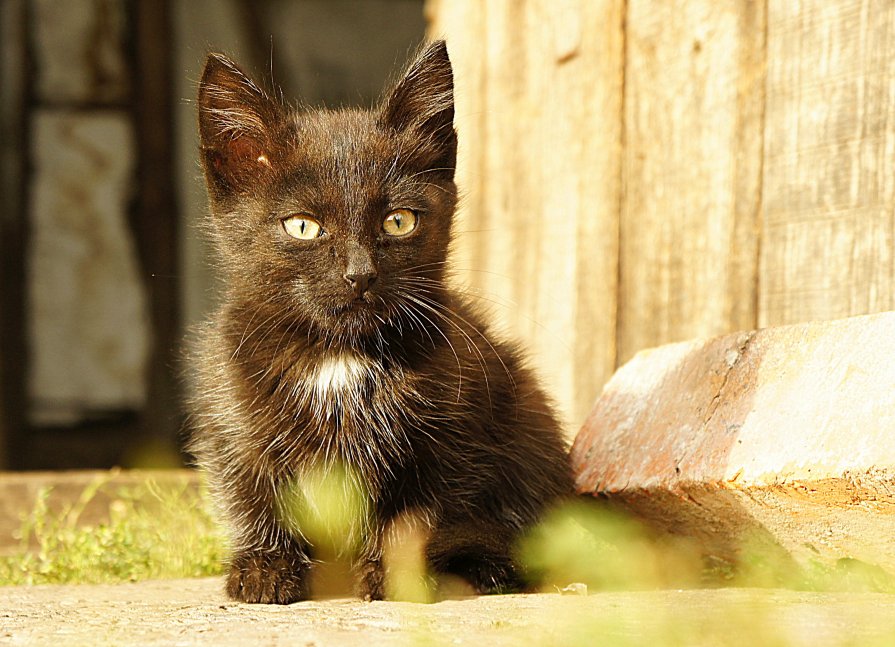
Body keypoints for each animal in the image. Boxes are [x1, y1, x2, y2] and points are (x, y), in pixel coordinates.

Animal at [189, 43, 576, 604]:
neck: (339, 355)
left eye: (398, 221)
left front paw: (394, 575)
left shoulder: (450, 434)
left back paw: (493, 567)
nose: (360, 274)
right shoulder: (231, 413)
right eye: (302, 226)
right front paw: (263, 567)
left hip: (526, 413)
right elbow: (249, 487)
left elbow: (416, 512)